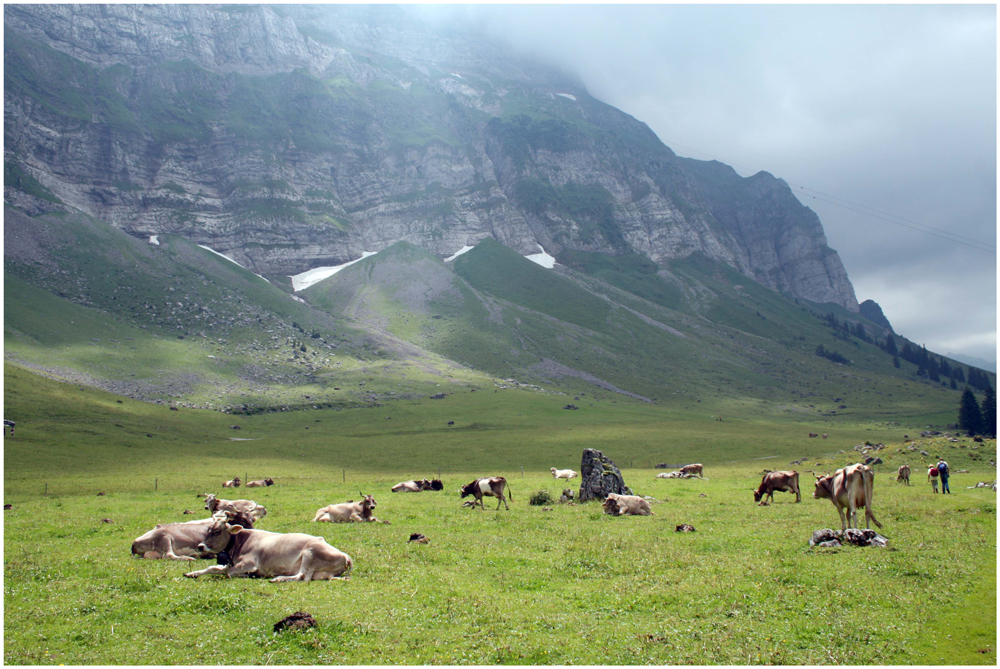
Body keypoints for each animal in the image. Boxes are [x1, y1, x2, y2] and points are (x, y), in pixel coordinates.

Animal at [186, 520, 354, 580]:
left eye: (217, 532)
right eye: (208, 530)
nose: (200, 546)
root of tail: (345, 555)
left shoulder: (249, 563)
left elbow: (227, 572)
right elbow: (212, 568)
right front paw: (192, 573)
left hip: (309, 554)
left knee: (301, 576)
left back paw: (278, 578)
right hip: (320, 572)